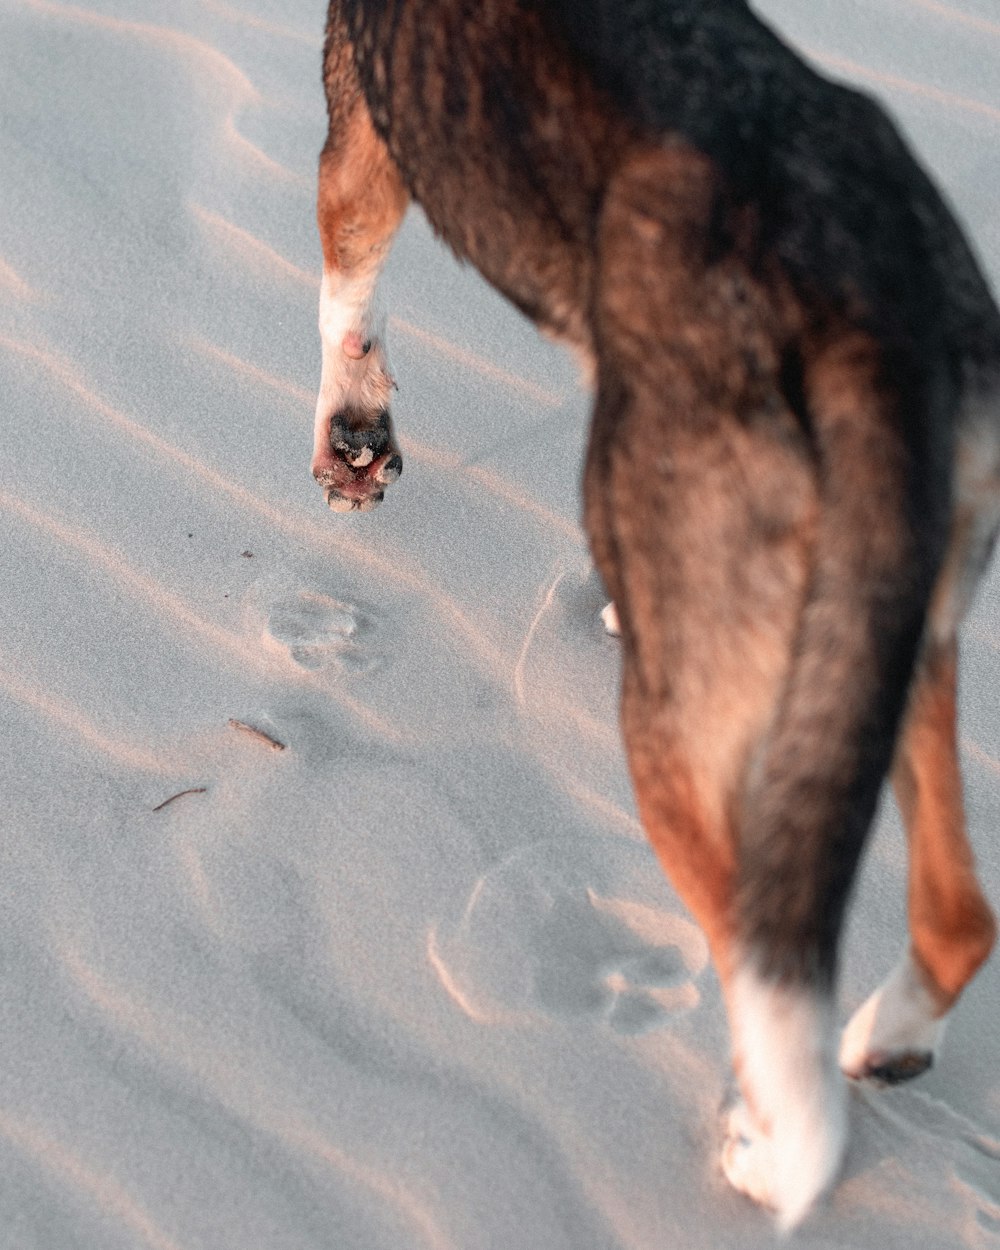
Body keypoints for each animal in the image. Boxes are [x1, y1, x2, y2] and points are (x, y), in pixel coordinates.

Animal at [312, 0, 1000, 1230]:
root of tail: (868, 317)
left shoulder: (362, 144)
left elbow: (347, 298)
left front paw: (350, 433)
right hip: (895, 632)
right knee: (958, 915)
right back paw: (894, 1040)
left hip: (677, 748)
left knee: (760, 971)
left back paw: (772, 1150)